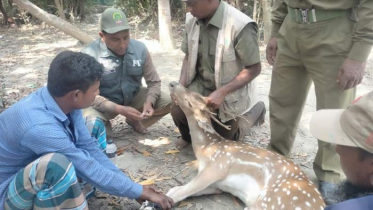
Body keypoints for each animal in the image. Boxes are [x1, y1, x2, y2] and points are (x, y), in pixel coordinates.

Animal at [167, 82, 324, 210]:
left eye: (192, 98)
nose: (172, 83)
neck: (206, 149)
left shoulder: (217, 167)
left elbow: (179, 192)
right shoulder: (216, 185)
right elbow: (178, 189)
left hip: (272, 200)